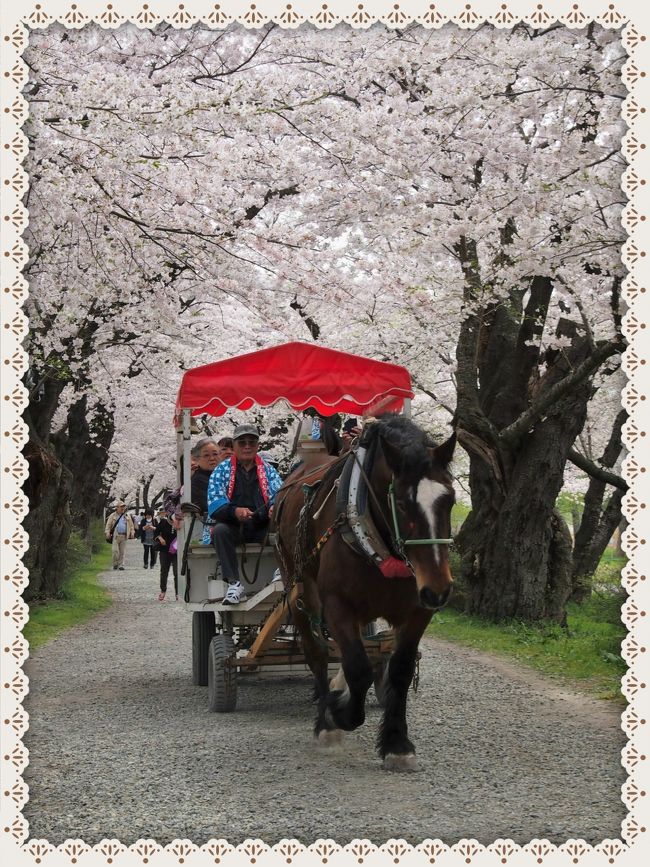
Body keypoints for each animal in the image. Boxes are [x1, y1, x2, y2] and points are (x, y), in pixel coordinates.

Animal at [270, 416, 454, 772]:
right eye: (402, 503)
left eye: (449, 500)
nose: (440, 589)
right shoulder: (337, 605)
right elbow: (358, 667)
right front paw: (338, 713)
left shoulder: (417, 610)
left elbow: (399, 670)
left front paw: (397, 743)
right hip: (296, 584)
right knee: (316, 652)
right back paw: (326, 716)